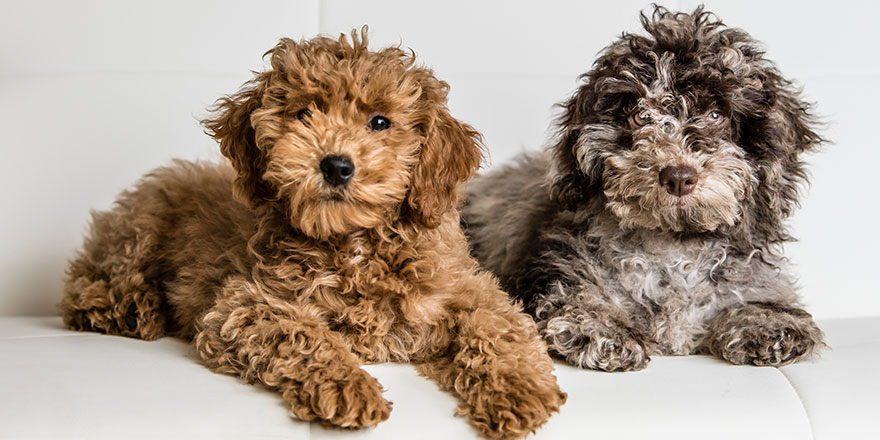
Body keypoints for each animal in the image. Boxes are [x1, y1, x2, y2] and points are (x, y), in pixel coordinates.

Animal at [63, 29, 572, 438]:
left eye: (380, 122)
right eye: (305, 114)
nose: (336, 165)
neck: (354, 245)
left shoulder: (468, 290)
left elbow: (497, 327)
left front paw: (519, 391)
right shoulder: (243, 306)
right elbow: (305, 334)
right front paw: (351, 387)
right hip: (140, 230)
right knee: (88, 283)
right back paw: (130, 310)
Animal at [464, 6, 828, 372]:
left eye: (716, 115)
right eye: (640, 116)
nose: (679, 176)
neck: (675, 246)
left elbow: (756, 297)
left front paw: (766, 323)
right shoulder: (553, 270)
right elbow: (576, 296)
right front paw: (600, 326)